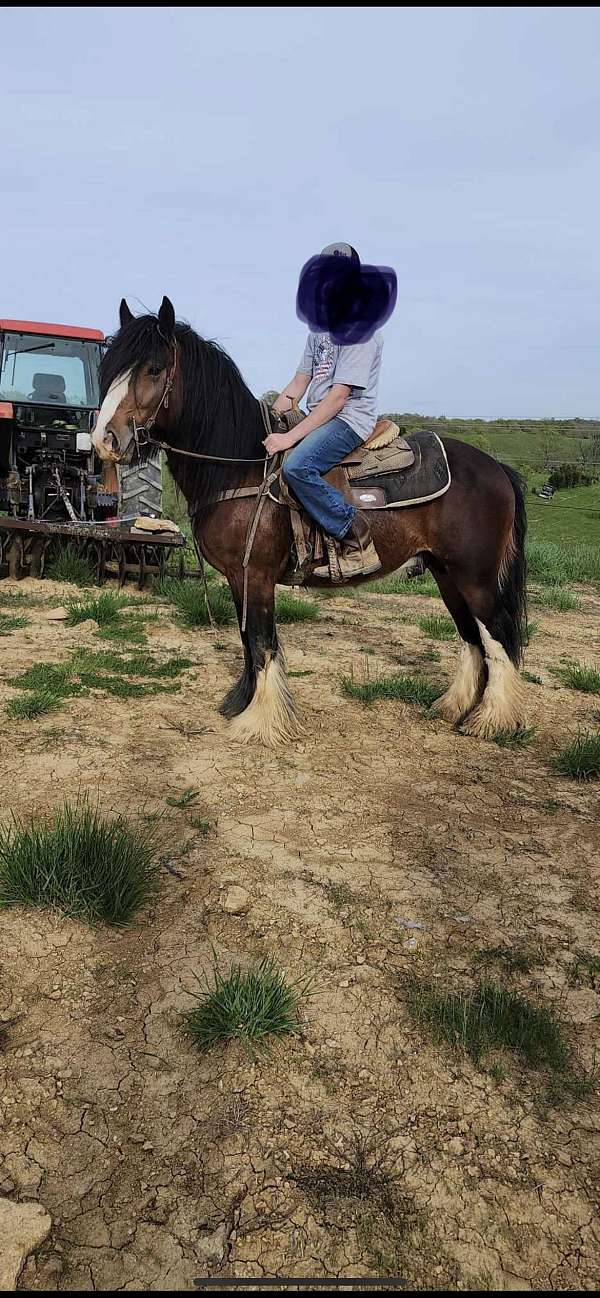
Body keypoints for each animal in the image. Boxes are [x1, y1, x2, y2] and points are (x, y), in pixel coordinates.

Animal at [91, 297, 527, 747]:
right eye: (111, 368)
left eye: (154, 368)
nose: (104, 440)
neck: (241, 468)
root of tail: (497, 469)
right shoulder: (237, 577)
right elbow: (248, 642)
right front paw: (241, 704)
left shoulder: (256, 574)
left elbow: (262, 641)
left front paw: (261, 721)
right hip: (445, 573)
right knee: (471, 636)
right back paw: (454, 707)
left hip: (474, 576)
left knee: (497, 635)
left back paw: (492, 719)